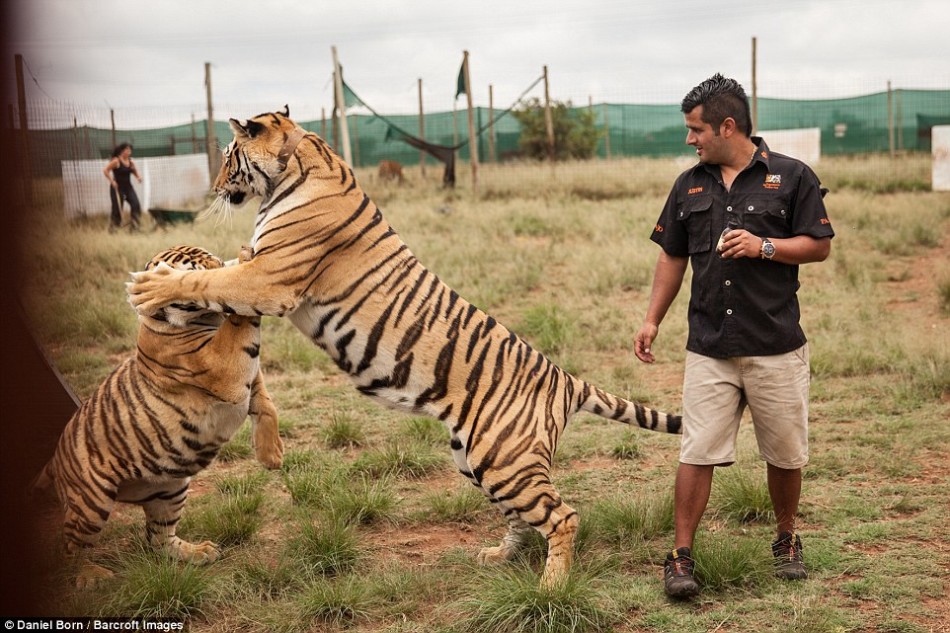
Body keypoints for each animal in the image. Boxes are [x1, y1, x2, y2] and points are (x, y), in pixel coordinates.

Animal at [37, 243, 282, 588]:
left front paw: (272, 455)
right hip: (91, 502)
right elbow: (240, 321)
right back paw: (91, 576)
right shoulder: (226, 367)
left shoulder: (249, 380)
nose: (227, 268)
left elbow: (266, 404)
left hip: (171, 489)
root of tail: (56, 458)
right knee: (71, 546)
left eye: (217, 263)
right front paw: (246, 262)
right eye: (198, 275)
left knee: (158, 539)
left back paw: (198, 552)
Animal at [130, 107, 684, 588]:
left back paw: (551, 587)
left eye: (228, 155)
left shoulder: (270, 277)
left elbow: (209, 280)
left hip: (504, 459)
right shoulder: (260, 271)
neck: (298, 159)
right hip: (478, 459)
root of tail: (563, 376)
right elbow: (218, 276)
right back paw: (500, 555)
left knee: (564, 516)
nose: (214, 189)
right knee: (524, 520)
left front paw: (152, 287)